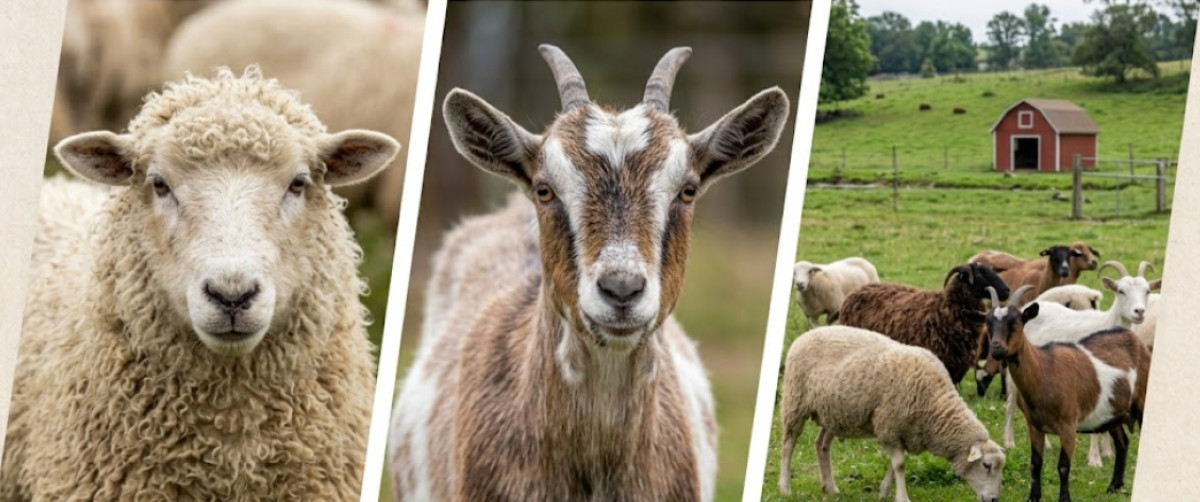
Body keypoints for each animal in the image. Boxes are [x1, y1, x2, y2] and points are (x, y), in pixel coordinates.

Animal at [777, 325, 1005, 502]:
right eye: (986, 465)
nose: (994, 499)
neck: (935, 405)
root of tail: (808, 333)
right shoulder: (890, 426)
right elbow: (900, 465)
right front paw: (902, 497)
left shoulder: (899, 431)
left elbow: (893, 465)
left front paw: (885, 491)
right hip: (795, 401)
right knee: (788, 444)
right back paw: (785, 486)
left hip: (834, 413)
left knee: (821, 444)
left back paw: (830, 487)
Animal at [979, 285, 1150, 502]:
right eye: (988, 322)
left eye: (1016, 321)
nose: (996, 348)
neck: (1044, 370)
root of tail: (1136, 341)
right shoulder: (1034, 425)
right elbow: (1035, 463)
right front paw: (1033, 497)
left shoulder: (1068, 425)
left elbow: (1063, 466)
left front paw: (1064, 499)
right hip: (1112, 411)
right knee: (1123, 442)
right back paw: (1114, 486)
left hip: (1141, 401)